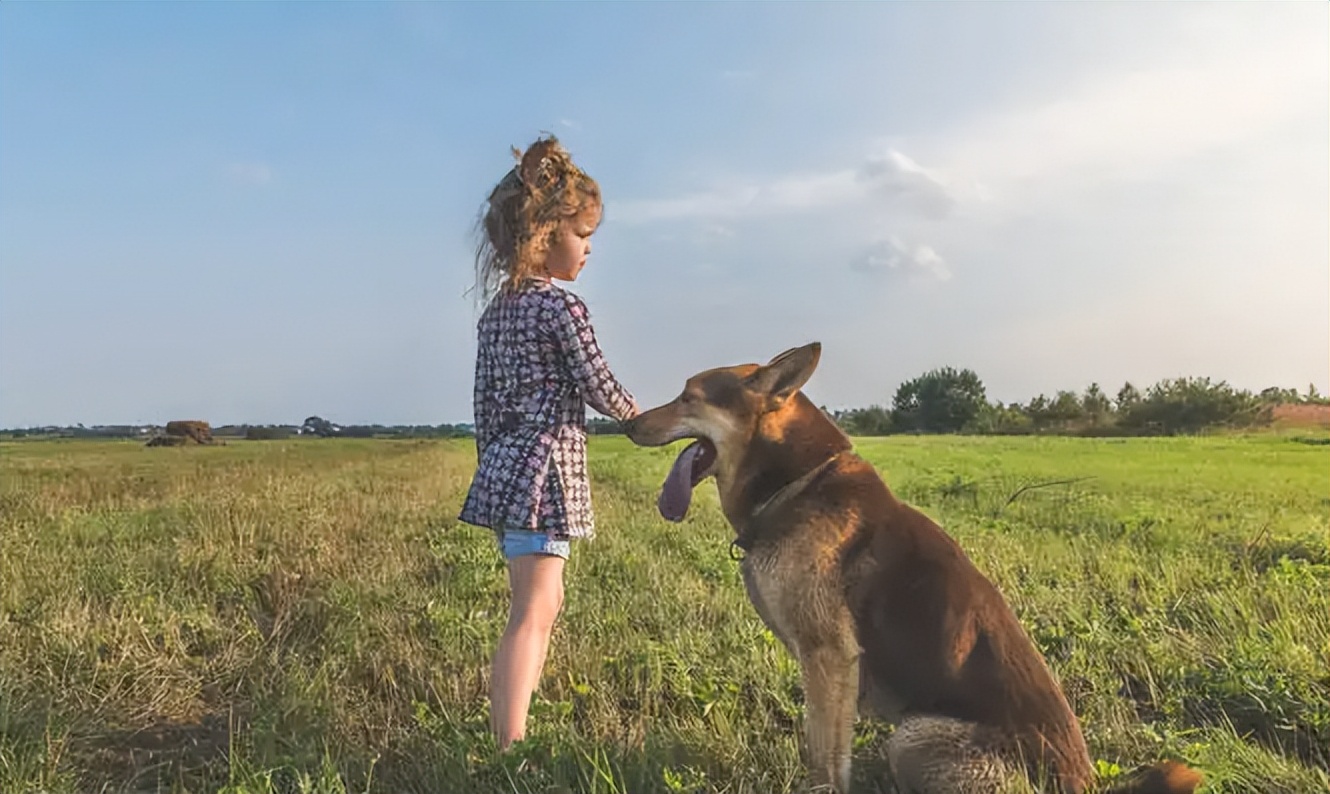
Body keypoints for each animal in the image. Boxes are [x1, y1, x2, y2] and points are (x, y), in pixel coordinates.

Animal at [625, 343, 1207, 792]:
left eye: (688, 396)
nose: (627, 422)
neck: (797, 483)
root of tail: (1082, 787)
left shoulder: (829, 656)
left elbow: (824, 760)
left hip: (913, 736)